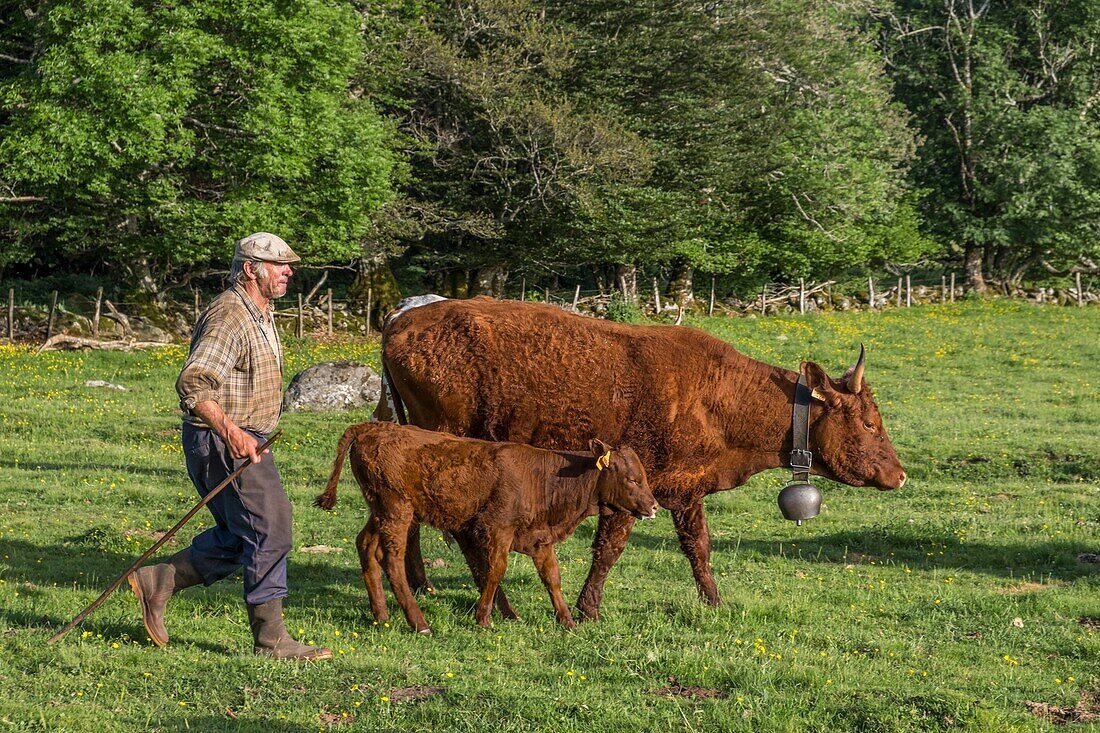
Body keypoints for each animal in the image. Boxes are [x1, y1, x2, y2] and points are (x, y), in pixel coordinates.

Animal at [312, 420, 651, 629]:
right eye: (632, 479)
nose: (653, 507)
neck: (544, 476)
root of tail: (371, 427)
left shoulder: (540, 538)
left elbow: (552, 578)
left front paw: (566, 621)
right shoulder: (497, 528)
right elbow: (495, 570)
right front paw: (484, 617)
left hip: (380, 511)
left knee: (366, 548)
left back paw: (381, 615)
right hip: (397, 511)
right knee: (392, 560)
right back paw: (419, 623)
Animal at [374, 294, 906, 611]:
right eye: (869, 422)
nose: (900, 474)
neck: (717, 395)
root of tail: (401, 319)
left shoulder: (685, 489)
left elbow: (698, 547)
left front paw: (714, 603)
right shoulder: (629, 483)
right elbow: (610, 547)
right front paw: (588, 607)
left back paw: (421, 583)